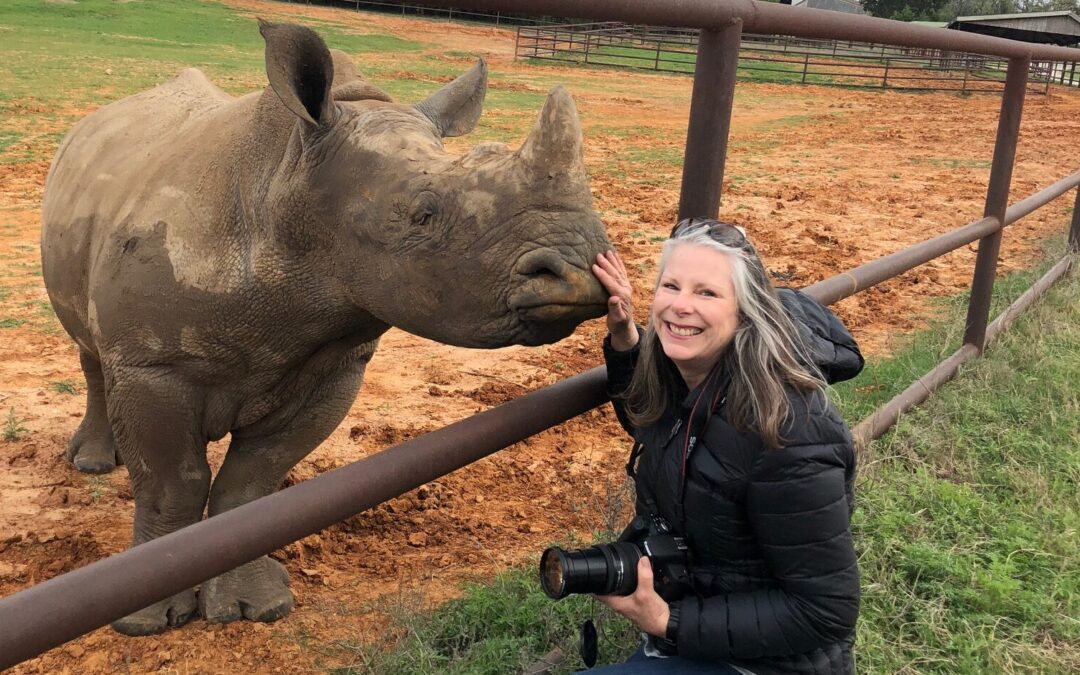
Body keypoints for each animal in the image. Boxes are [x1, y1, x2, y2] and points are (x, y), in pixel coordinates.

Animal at [40, 20, 610, 635]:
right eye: (422, 214)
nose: (578, 269)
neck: (287, 188)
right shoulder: (153, 363)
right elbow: (172, 483)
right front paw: (148, 620)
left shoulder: (332, 365)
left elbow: (251, 483)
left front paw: (253, 606)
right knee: (89, 347)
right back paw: (94, 463)